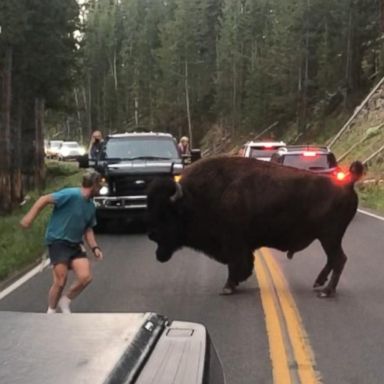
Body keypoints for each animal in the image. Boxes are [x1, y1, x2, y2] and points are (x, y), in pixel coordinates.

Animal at [146, 155, 364, 296]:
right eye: (151, 207)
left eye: (166, 213)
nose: (151, 234)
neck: (193, 198)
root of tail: (347, 183)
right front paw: (232, 284)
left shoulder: (233, 243)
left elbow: (236, 264)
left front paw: (227, 287)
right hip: (327, 237)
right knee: (333, 259)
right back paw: (319, 283)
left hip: (329, 236)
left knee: (339, 259)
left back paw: (326, 291)